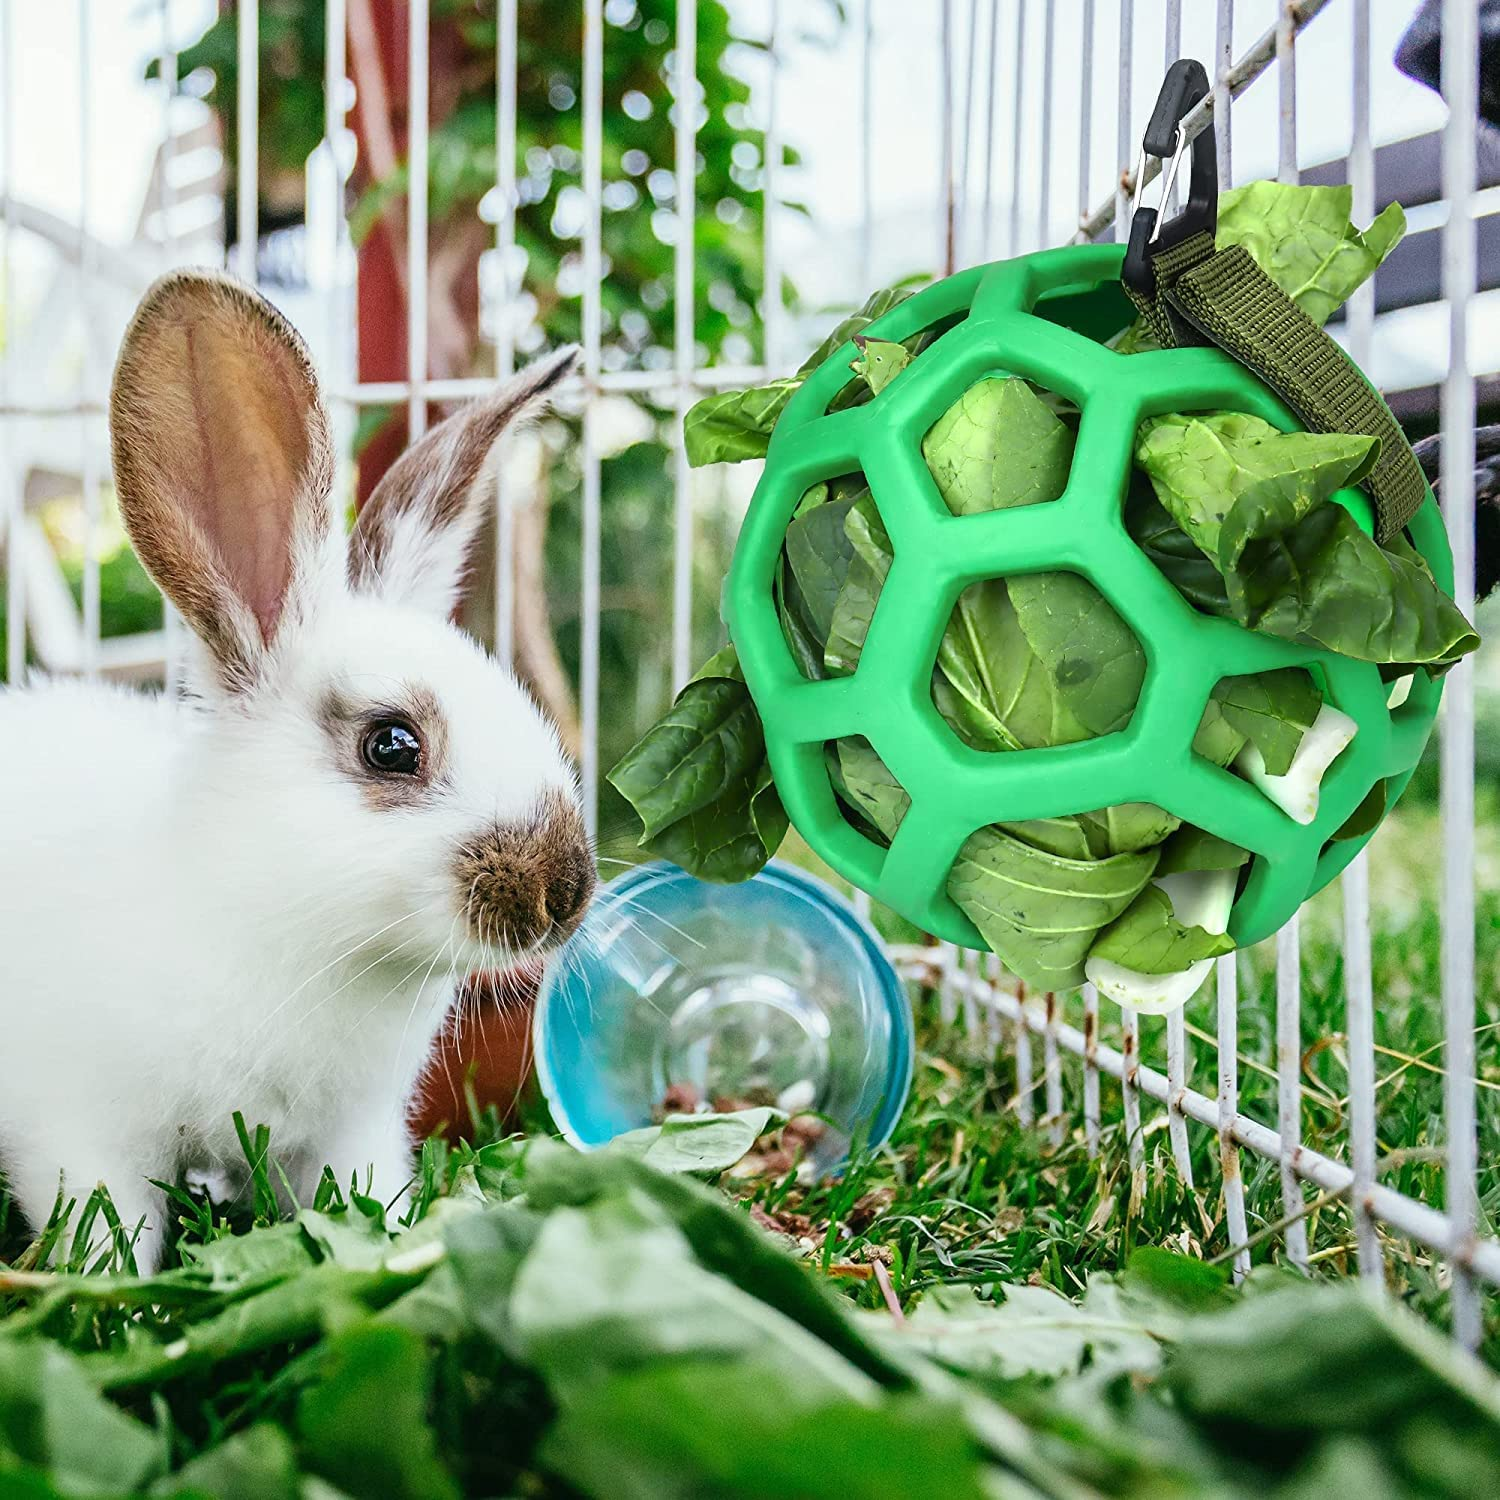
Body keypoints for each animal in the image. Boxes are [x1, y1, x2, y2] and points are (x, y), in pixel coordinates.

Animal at [0, 269, 593, 1271]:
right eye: (392, 745)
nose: (566, 892)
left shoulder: (350, 1133)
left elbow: (363, 1196)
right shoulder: (83, 1131)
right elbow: (108, 1226)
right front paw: (102, 1283)